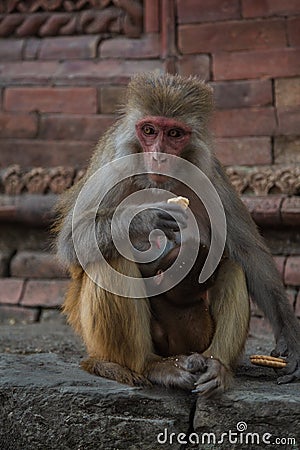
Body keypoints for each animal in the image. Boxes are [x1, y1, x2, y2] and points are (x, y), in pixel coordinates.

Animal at [54, 71, 300, 398]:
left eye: (174, 134)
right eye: (149, 130)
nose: (159, 156)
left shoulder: (210, 174)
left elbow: (249, 255)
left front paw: (291, 339)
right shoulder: (113, 166)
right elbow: (71, 241)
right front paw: (144, 218)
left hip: (194, 340)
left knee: (232, 267)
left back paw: (216, 367)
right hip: (100, 345)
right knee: (111, 260)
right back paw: (150, 366)